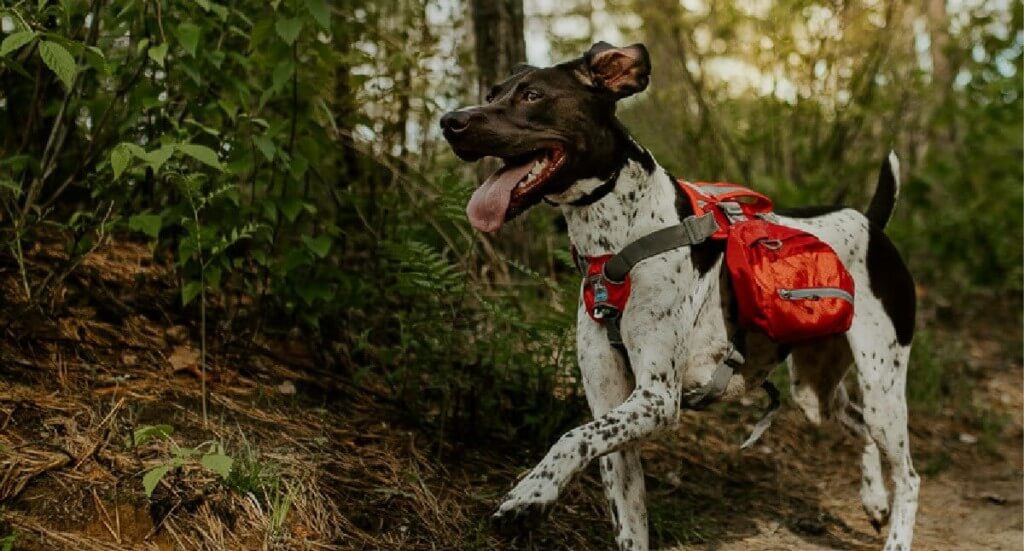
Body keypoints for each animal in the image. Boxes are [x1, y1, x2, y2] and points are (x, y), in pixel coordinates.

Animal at [440, 43, 921, 548]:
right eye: (492, 93)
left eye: (532, 95)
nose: (450, 122)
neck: (616, 244)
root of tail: (871, 222)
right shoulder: (613, 416)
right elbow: (618, 500)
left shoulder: (656, 398)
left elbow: (570, 438)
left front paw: (530, 493)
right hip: (815, 390)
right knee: (862, 430)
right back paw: (874, 499)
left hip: (883, 381)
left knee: (908, 474)